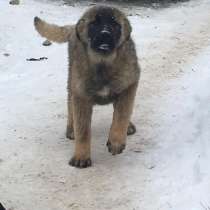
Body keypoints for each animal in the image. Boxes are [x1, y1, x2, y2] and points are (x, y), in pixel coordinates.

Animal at [33, 5, 140, 168]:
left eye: (115, 24)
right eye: (94, 24)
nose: (105, 35)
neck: (103, 63)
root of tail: (73, 28)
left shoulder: (129, 85)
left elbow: (122, 114)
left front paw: (116, 141)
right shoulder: (81, 96)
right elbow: (83, 131)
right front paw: (81, 156)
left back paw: (128, 126)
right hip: (72, 81)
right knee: (70, 105)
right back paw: (71, 128)